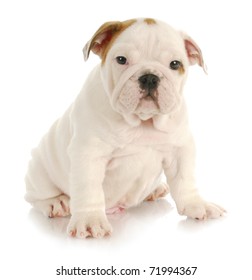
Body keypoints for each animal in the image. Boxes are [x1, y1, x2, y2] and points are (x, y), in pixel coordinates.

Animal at [25, 17, 224, 237]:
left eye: (175, 64)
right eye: (121, 60)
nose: (149, 77)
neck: (142, 122)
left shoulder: (180, 148)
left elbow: (185, 181)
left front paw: (197, 205)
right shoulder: (88, 153)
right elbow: (89, 189)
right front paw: (90, 220)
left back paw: (155, 189)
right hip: (38, 168)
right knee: (36, 196)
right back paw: (56, 202)